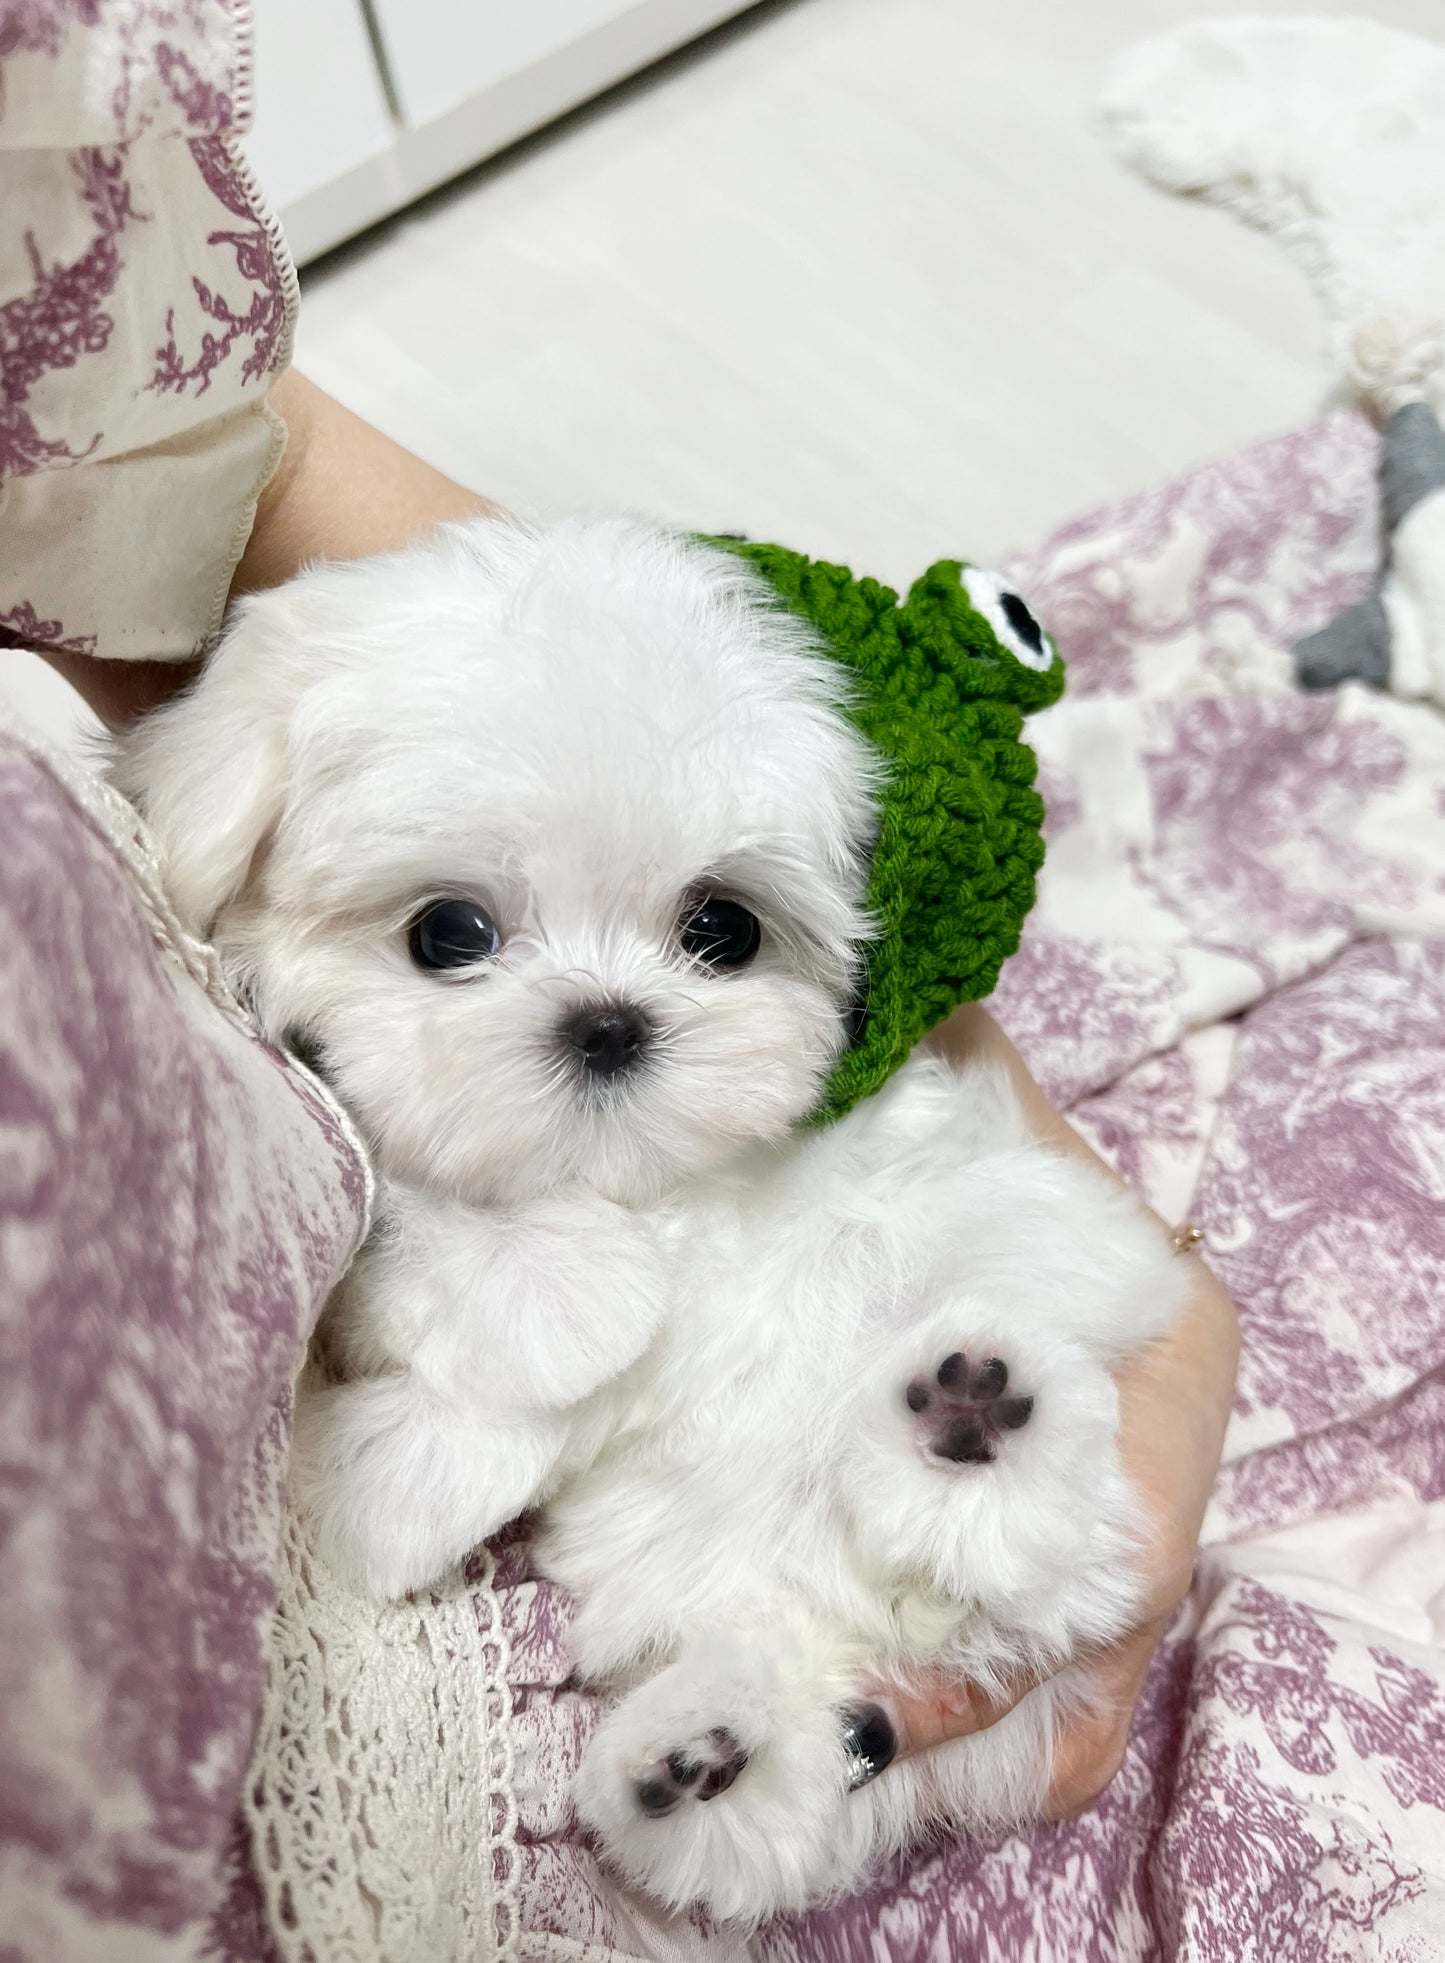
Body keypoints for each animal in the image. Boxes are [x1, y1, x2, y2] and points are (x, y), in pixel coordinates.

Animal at [118, 510, 1185, 1915]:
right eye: (448, 931)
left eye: (720, 927)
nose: (610, 1023)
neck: (633, 1179)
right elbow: (438, 1229)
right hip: (747, 1612)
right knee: (790, 1752)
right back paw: (702, 1756)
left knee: (1044, 1527)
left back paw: (979, 1415)